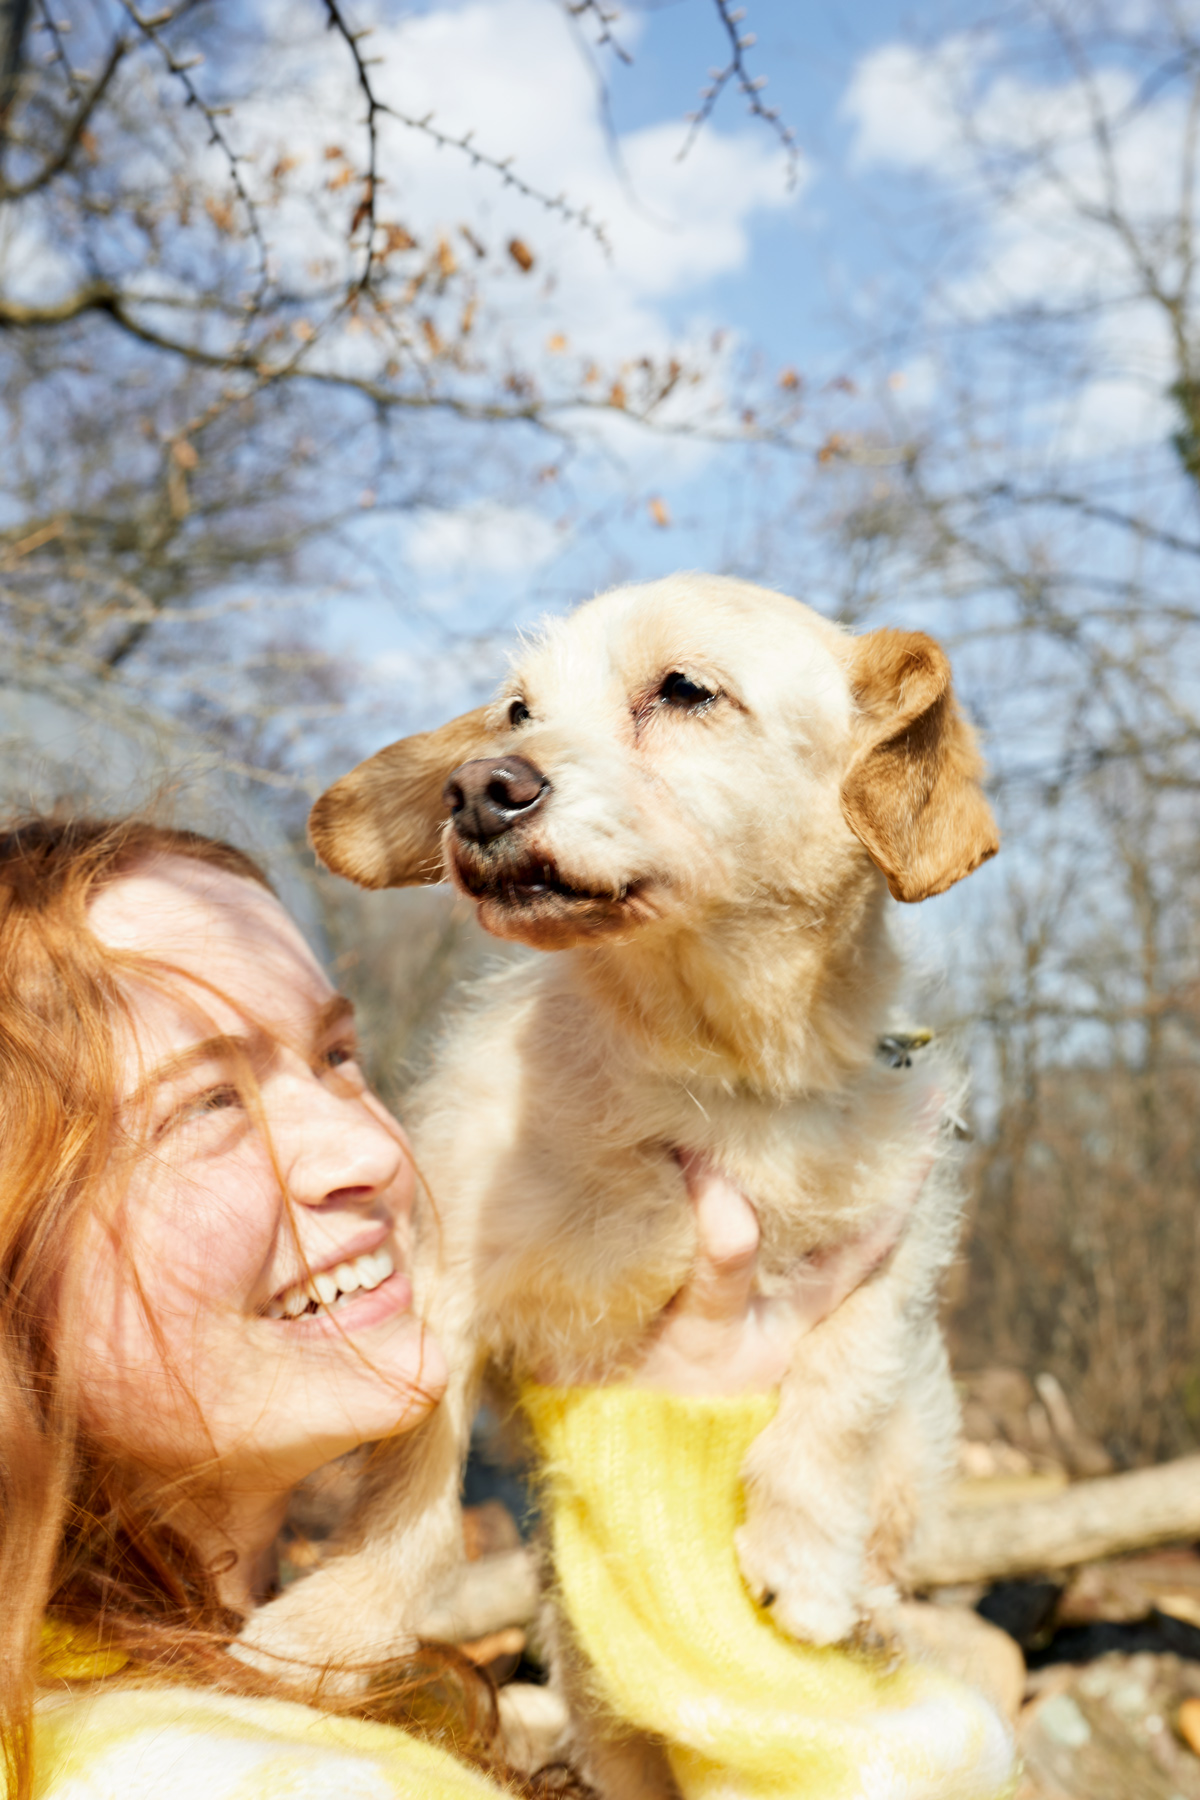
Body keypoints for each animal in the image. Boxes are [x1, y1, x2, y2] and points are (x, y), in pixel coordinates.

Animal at [239, 572, 1000, 1771]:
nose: (477, 788)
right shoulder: (447, 1280)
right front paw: (334, 1626)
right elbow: (412, 1489)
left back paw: (872, 1608)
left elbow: (839, 1396)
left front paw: (806, 1564)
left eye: (684, 690)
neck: (706, 1066)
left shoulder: (899, 1241)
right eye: (516, 710)